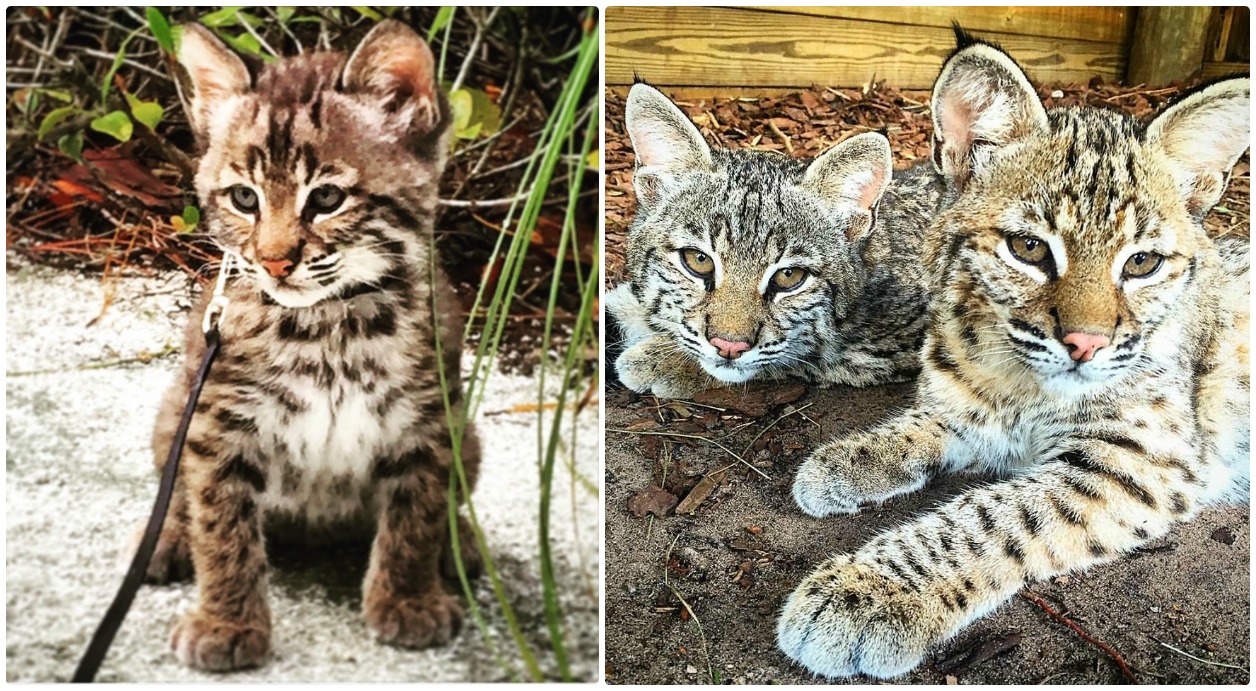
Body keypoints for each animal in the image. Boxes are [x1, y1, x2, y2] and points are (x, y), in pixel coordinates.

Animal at [146, 24, 477, 673]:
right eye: (243, 199)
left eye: (326, 200)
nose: (274, 262)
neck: (330, 323)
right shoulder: (218, 420)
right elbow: (220, 523)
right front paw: (226, 622)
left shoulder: (431, 417)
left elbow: (419, 513)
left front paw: (408, 599)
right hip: (177, 402)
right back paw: (166, 538)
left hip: (471, 436)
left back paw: (463, 545)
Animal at [778, 35, 1250, 678]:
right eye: (1028, 248)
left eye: (1143, 263)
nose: (1086, 345)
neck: (1023, 378)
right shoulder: (973, 401)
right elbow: (931, 420)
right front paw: (848, 461)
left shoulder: (1141, 462)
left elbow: (994, 517)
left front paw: (870, 589)